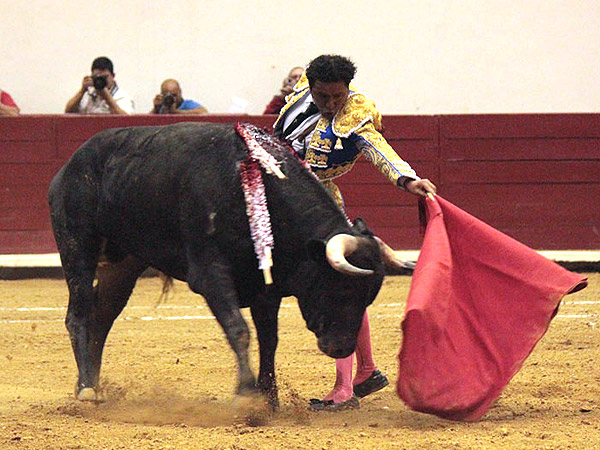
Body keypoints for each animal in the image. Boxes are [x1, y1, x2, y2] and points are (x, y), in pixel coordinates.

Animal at [47, 121, 386, 406]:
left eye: (368, 298)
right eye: (340, 289)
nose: (341, 348)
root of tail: (68, 166)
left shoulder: (267, 287)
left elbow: (269, 340)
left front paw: (269, 398)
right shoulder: (211, 274)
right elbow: (239, 328)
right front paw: (246, 395)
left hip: (125, 263)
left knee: (102, 317)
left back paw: (90, 384)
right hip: (77, 246)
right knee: (78, 314)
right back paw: (87, 390)